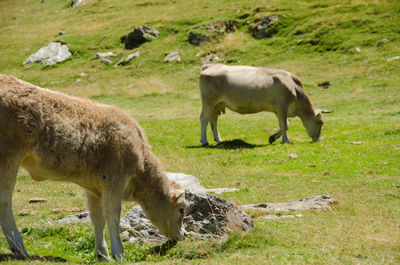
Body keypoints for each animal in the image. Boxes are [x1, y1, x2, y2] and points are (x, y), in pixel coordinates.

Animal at [0, 73, 187, 260]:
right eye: (182, 210)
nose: (183, 235)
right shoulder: (114, 181)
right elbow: (113, 217)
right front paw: (118, 253)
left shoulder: (93, 187)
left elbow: (97, 218)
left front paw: (102, 253)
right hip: (8, 159)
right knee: (5, 202)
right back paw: (19, 248)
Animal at [200, 64, 328, 146]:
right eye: (321, 122)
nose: (320, 139)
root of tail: (210, 66)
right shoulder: (282, 106)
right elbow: (284, 125)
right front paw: (286, 141)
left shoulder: (278, 110)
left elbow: (286, 125)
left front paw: (272, 138)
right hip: (208, 102)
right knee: (204, 118)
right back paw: (204, 141)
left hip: (217, 104)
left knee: (213, 119)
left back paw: (218, 139)